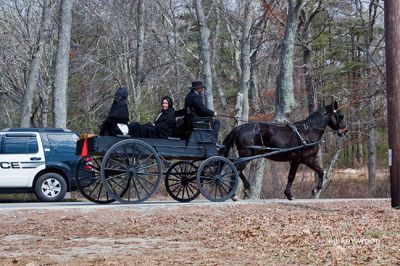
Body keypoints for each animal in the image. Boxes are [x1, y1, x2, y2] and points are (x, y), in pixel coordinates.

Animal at [220, 101, 348, 201]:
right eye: (340, 116)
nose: (345, 131)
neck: (307, 132)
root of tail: (239, 128)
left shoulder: (297, 160)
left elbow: (293, 176)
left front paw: (290, 194)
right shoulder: (305, 159)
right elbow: (318, 172)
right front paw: (314, 190)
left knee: (235, 167)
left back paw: (245, 187)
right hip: (246, 154)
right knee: (235, 170)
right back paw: (233, 194)